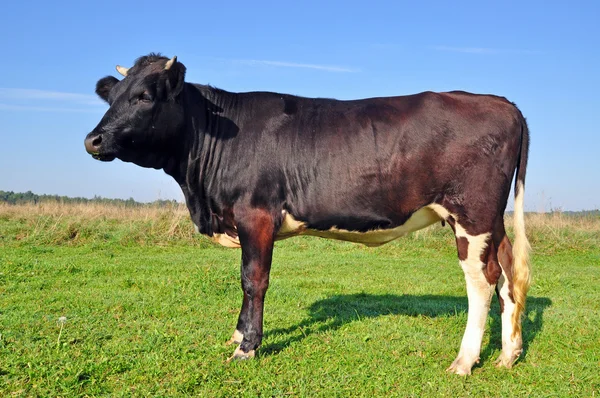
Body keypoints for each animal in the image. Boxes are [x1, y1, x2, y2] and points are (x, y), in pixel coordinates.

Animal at [84, 54, 528, 374]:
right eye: (112, 96)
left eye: (144, 96)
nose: (93, 140)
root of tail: (501, 102)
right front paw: (237, 336)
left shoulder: (256, 215)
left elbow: (253, 281)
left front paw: (247, 348)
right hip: (493, 220)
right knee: (508, 272)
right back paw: (507, 355)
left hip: (471, 213)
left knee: (482, 280)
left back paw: (465, 361)